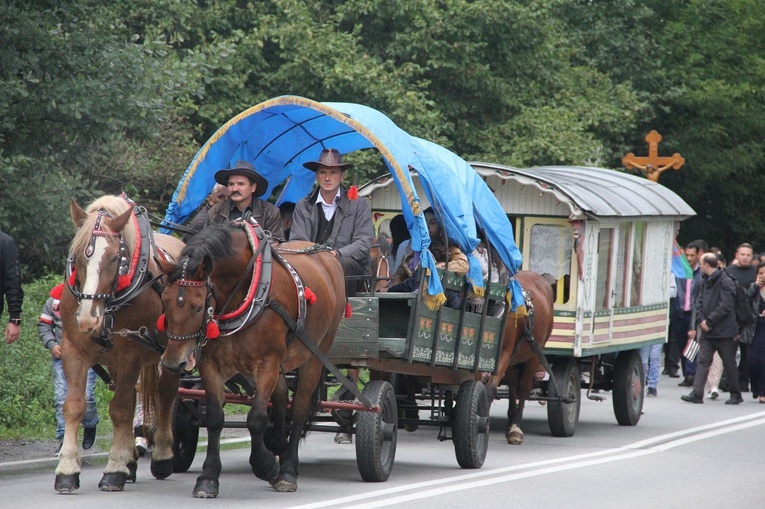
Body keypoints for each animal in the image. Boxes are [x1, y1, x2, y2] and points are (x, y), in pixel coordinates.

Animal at [54, 194, 184, 492]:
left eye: (116, 259)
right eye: (77, 257)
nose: (87, 318)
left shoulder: (130, 356)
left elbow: (121, 409)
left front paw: (113, 469)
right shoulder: (73, 350)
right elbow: (74, 405)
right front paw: (67, 470)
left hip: (173, 352)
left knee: (166, 395)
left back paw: (161, 455)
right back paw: (131, 461)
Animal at [158, 222, 344, 496]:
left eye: (198, 307)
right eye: (165, 302)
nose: (174, 362)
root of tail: (326, 253)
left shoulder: (267, 363)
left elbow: (256, 419)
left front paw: (266, 466)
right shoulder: (211, 365)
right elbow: (214, 418)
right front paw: (208, 477)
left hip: (314, 355)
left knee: (299, 407)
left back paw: (287, 469)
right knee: (281, 395)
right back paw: (278, 443)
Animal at [484, 270, 556, 444]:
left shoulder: (503, 353)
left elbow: (489, 389)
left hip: (535, 352)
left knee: (523, 386)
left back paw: (516, 427)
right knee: (512, 385)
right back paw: (511, 421)